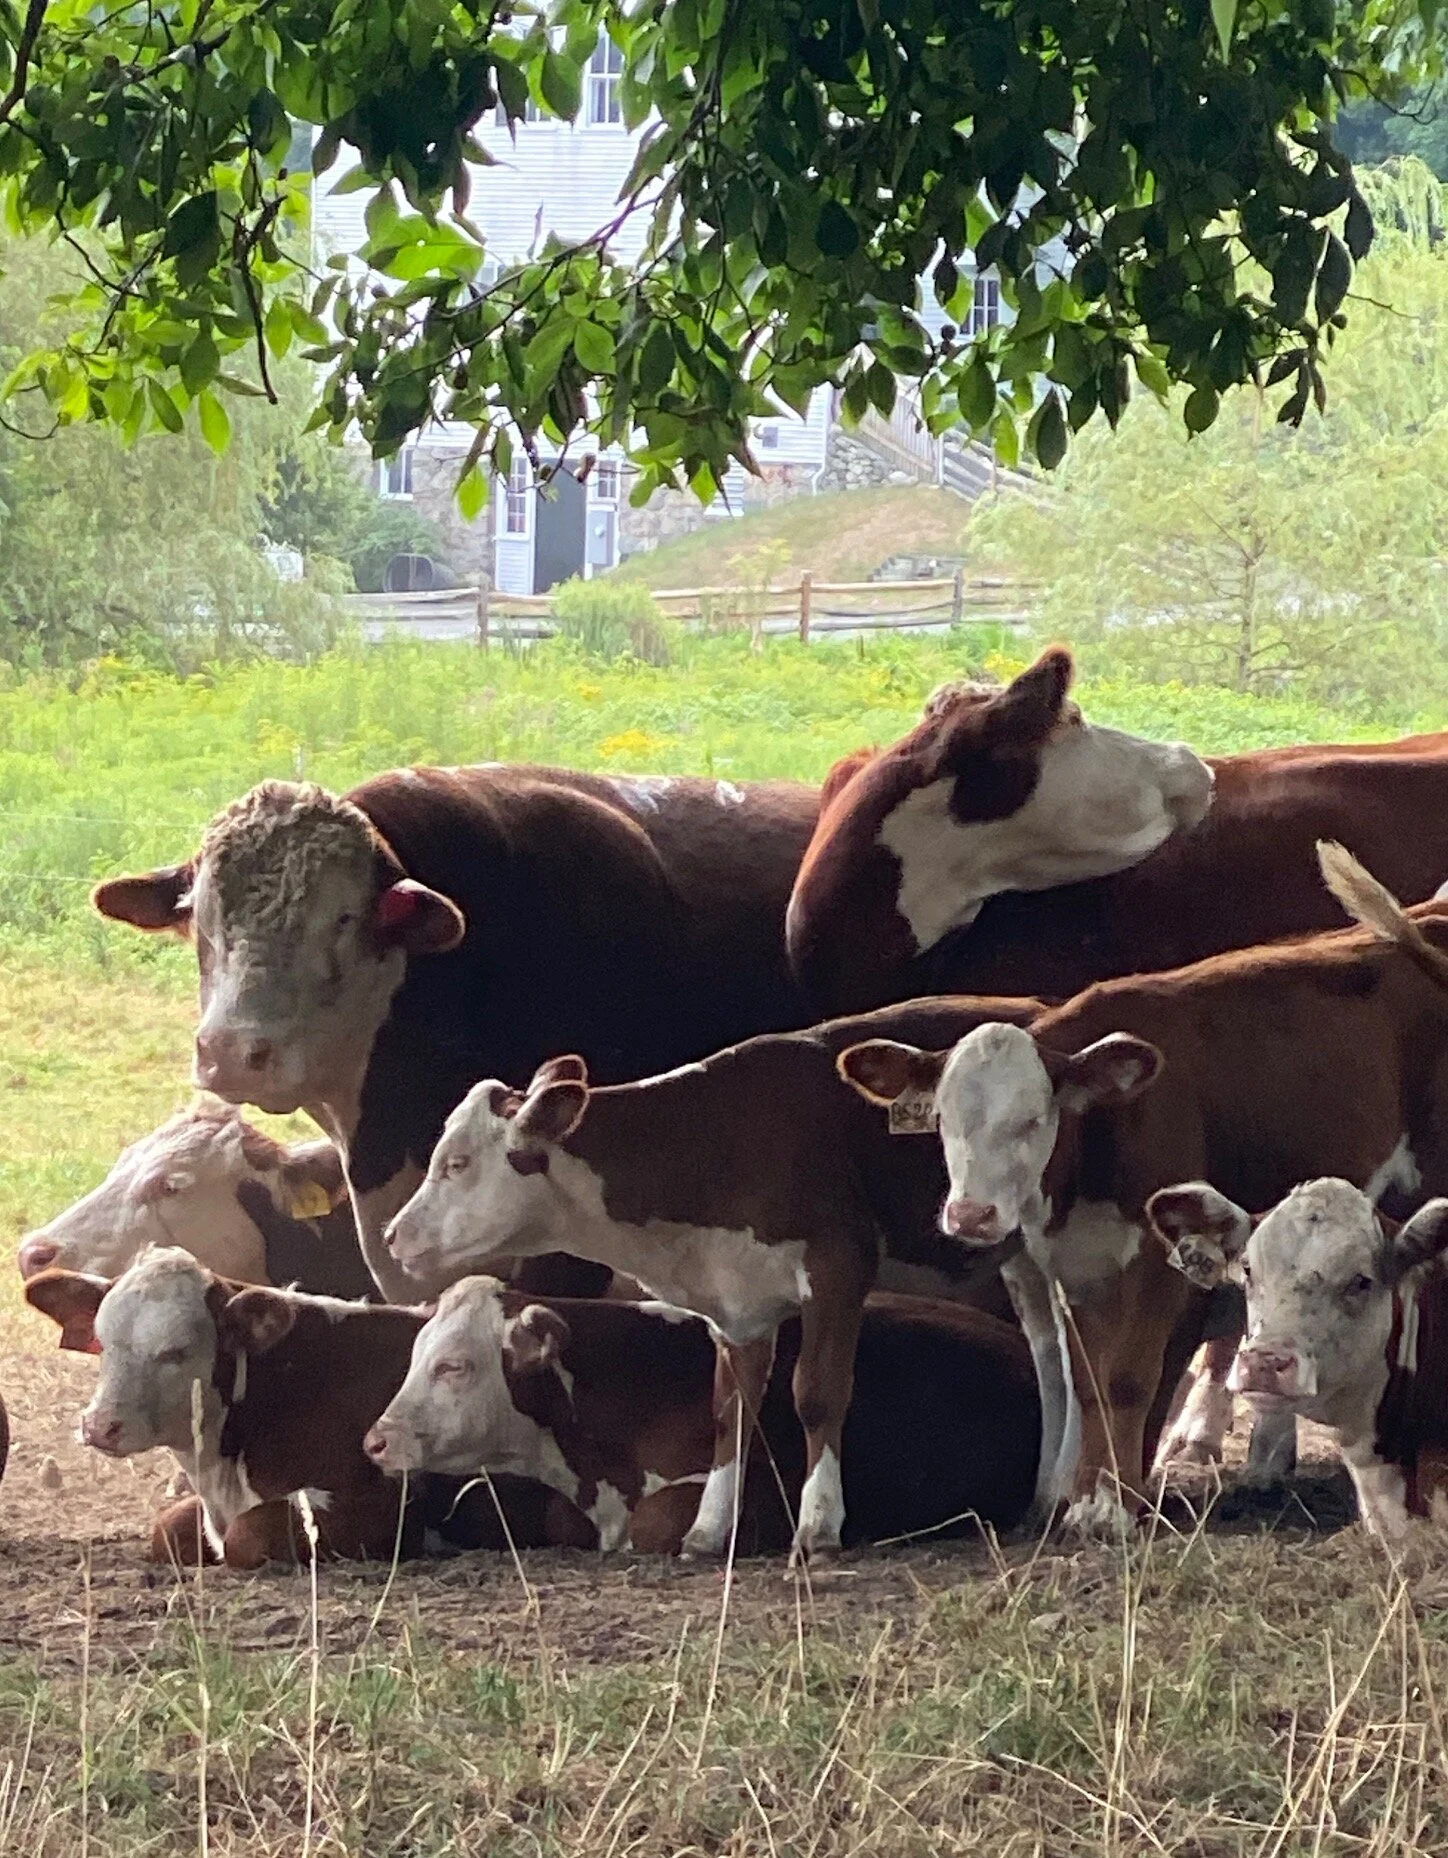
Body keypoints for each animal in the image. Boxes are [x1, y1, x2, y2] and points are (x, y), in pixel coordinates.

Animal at [22, 1249, 583, 1567]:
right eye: (103, 1341)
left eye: (175, 1351)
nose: (100, 1425)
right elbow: (167, 1531)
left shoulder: (379, 1507)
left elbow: (249, 1535)